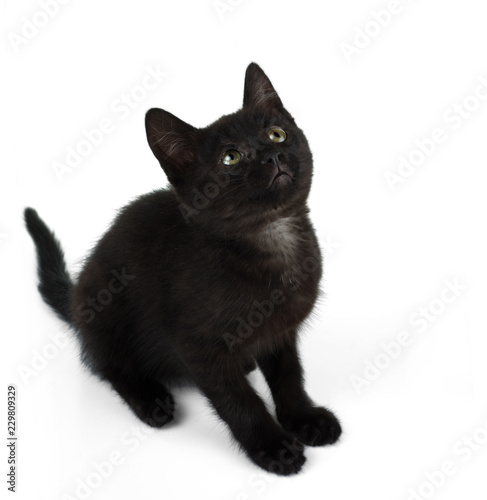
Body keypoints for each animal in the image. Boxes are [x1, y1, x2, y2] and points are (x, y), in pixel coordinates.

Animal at [23, 64, 344, 474]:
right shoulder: (197, 346)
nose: (273, 155)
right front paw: (273, 447)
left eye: (276, 133)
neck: (272, 236)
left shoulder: (281, 330)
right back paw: (151, 399)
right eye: (231, 158)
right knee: (109, 364)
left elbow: (289, 375)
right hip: (104, 309)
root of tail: (77, 293)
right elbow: (238, 400)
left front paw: (305, 419)